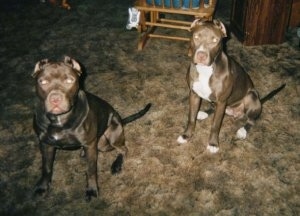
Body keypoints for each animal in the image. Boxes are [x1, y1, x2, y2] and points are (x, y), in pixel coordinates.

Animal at [31, 56, 151, 201]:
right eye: (42, 81)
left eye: (69, 80)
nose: (55, 99)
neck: (59, 120)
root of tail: (121, 119)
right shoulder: (45, 144)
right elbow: (46, 167)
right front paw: (43, 187)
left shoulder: (90, 144)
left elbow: (91, 169)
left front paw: (92, 190)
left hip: (107, 140)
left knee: (123, 149)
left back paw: (116, 165)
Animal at [177, 19, 284, 153]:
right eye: (196, 37)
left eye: (215, 40)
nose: (201, 55)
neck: (206, 70)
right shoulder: (194, 95)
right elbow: (191, 118)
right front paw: (186, 136)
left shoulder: (222, 101)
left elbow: (215, 125)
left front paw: (213, 144)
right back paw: (203, 113)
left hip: (250, 96)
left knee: (252, 120)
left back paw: (243, 130)